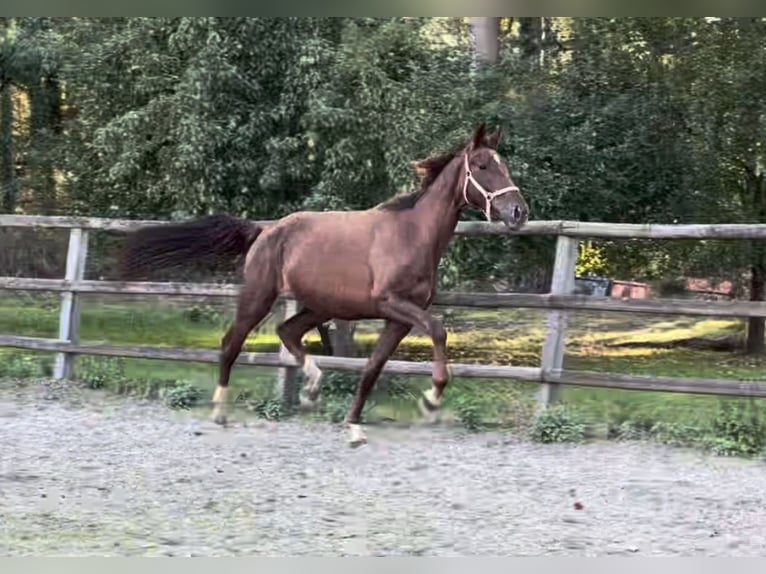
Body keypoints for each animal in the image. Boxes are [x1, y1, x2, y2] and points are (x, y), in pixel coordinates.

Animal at [120, 123, 529, 447]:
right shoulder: (392, 304)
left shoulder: (399, 319)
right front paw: (431, 401)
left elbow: (372, 369)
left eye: (504, 165)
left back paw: (312, 387)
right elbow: (439, 330)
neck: (412, 234)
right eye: (482, 166)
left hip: (320, 305)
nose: (518, 212)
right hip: (259, 296)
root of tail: (265, 230)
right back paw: (221, 410)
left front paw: (355, 428)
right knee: (231, 342)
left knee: (287, 331)